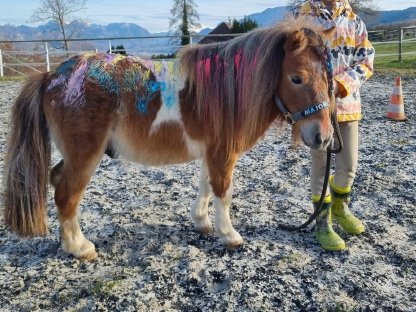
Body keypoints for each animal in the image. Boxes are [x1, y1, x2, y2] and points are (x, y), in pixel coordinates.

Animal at [3, 17, 334, 260]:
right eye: (296, 78)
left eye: (328, 77)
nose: (323, 137)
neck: (226, 91)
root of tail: (51, 76)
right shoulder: (224, 154)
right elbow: (223, 192)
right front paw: (230, 236)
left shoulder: (211, 152)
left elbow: (205, 186)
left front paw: (202, 223)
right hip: (84, 156)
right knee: (66, 193)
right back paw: (79, 247)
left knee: (57, 180)